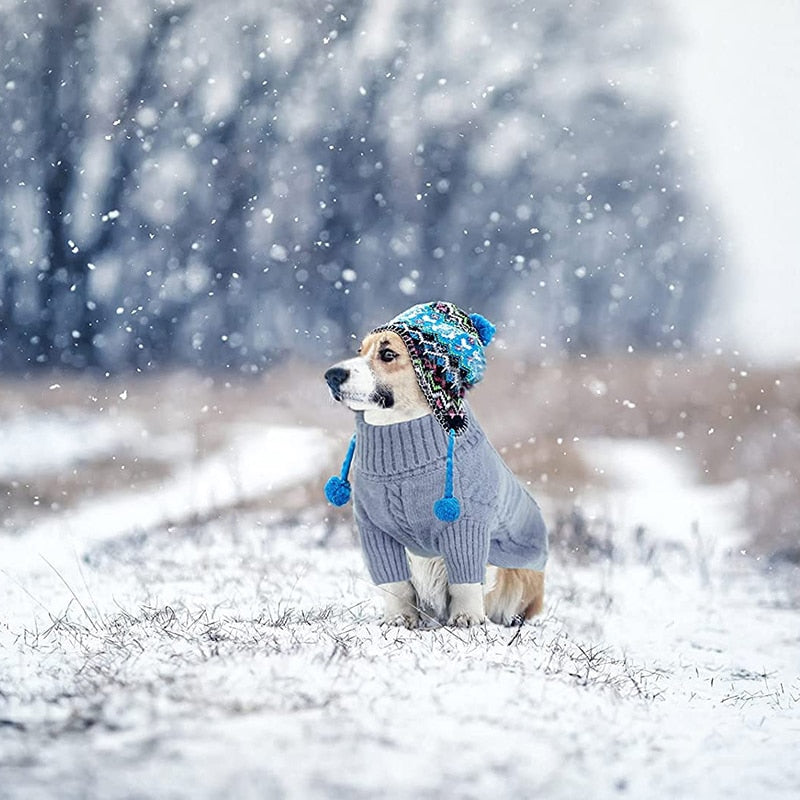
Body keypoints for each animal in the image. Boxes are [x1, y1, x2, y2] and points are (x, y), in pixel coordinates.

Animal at [322, 300, 548, 624]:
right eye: (360, 350)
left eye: (387, 354)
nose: (331, 375)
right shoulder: (374, 530)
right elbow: (396, 585)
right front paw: (399, 620)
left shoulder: (467, 524)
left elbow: (466, 581)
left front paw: (466, 619)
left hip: (521, 574)